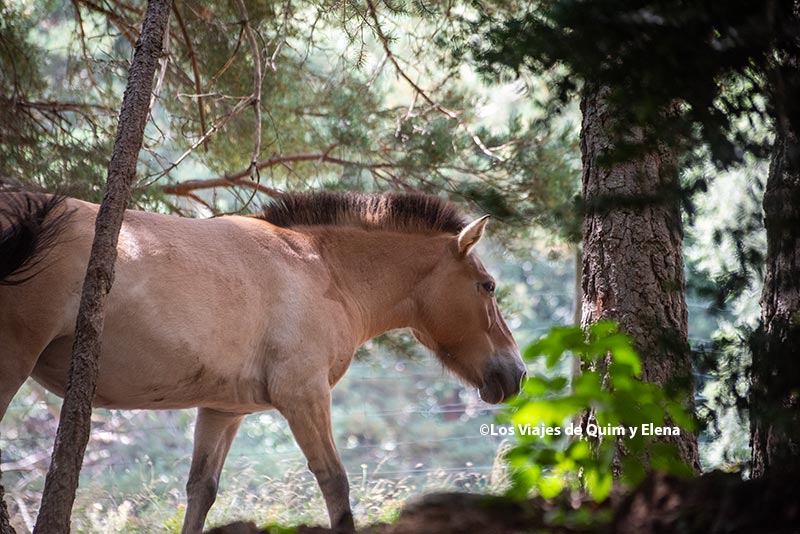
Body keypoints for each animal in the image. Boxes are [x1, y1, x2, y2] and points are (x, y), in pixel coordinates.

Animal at [0, 190, 526, 532]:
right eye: (488, 286)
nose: (516, 374)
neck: (321, 268)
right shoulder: (304, 396)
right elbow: (335, 485)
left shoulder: (222, 410)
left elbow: (201, 491)